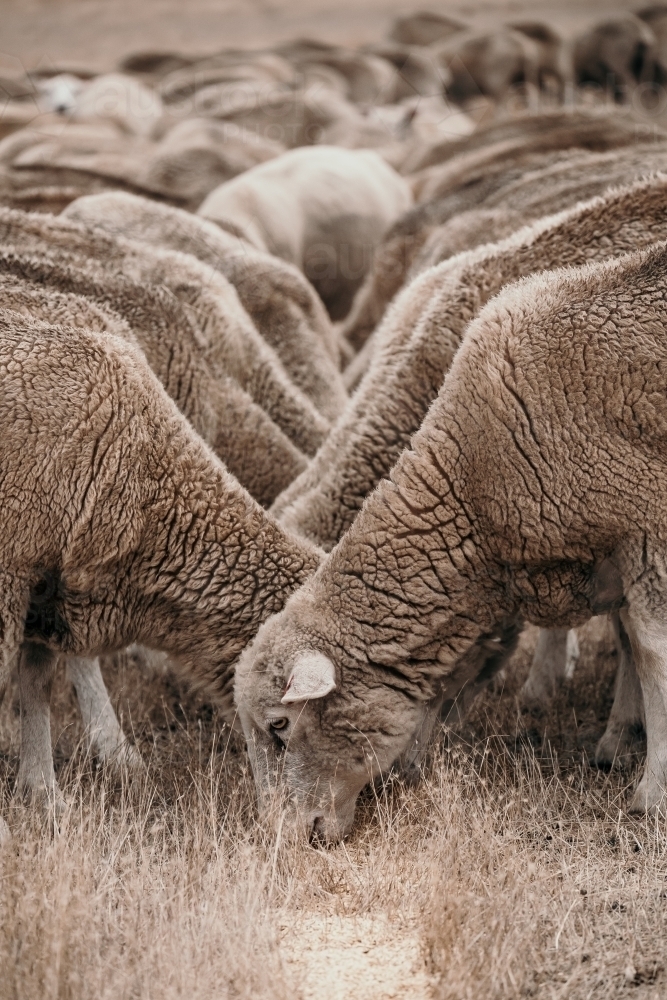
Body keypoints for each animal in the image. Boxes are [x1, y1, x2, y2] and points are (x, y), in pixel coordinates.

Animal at [236, 239, 667, 840]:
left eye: (279, 725)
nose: (284, 837)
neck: (474, 481)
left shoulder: (645, 526)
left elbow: (652, 651)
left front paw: (652, 792)